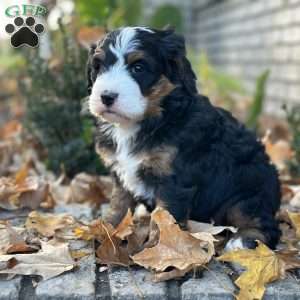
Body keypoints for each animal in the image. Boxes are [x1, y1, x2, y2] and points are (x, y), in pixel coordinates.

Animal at [86, 26, 282, 251]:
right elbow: (118, 205)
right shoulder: (121, 174)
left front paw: (159, 248)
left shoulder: (173, 180)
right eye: (98, 67)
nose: (106, 97)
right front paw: (105, 230)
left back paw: (242, 240)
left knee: (262, 222)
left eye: (138, 67)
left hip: (248, 191)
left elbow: (164, 219)